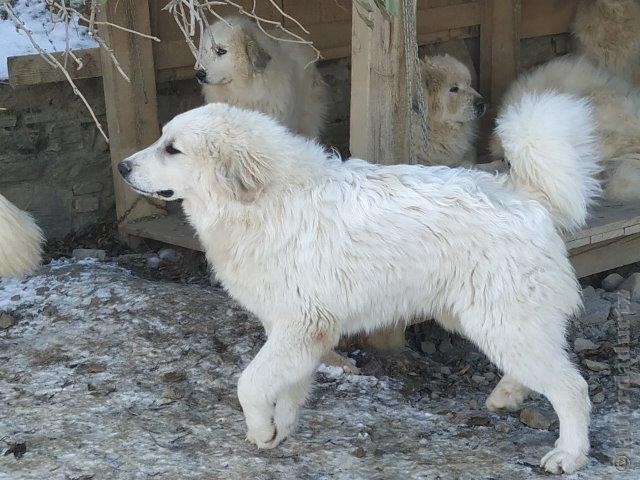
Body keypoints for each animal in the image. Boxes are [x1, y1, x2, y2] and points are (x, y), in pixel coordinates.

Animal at [119, 92, 600, 474]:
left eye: (172, 149)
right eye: (161, 141)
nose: (122, 167)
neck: (264, 201)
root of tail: (523, 194)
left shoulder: (302, 323)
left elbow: (250, 384)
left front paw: (260, 429)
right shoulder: (296, 329)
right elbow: (288, 386)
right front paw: (281, 429)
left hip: (501, 320)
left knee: (572, 388)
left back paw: (568, 455)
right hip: (482, 318)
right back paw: (507, 397)